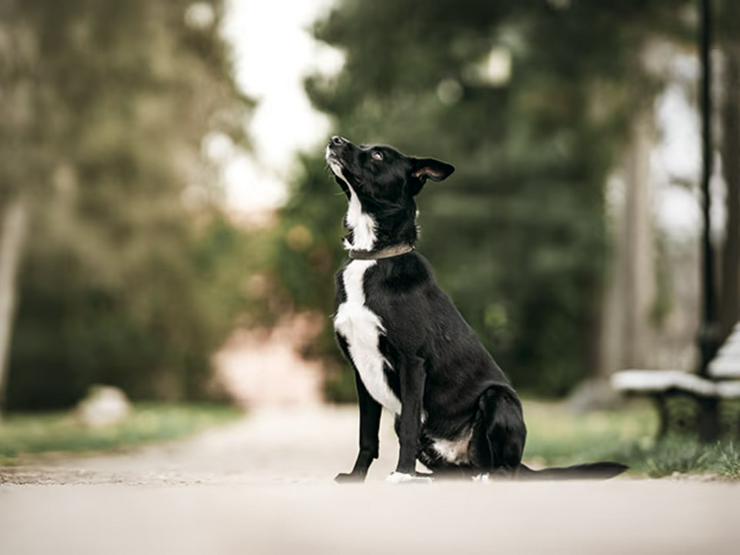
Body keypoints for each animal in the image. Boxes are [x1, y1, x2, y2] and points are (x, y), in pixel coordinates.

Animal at [324, 136, 624, 482]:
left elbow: (410, 427)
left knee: (504, 469)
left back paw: (482, 476)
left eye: (376, 155)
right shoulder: (362, 372)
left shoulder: (412, 362)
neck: (374, 256)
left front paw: (401, 474)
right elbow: (367, 436)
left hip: (498, 399)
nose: (334, 140)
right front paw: (357, 478)